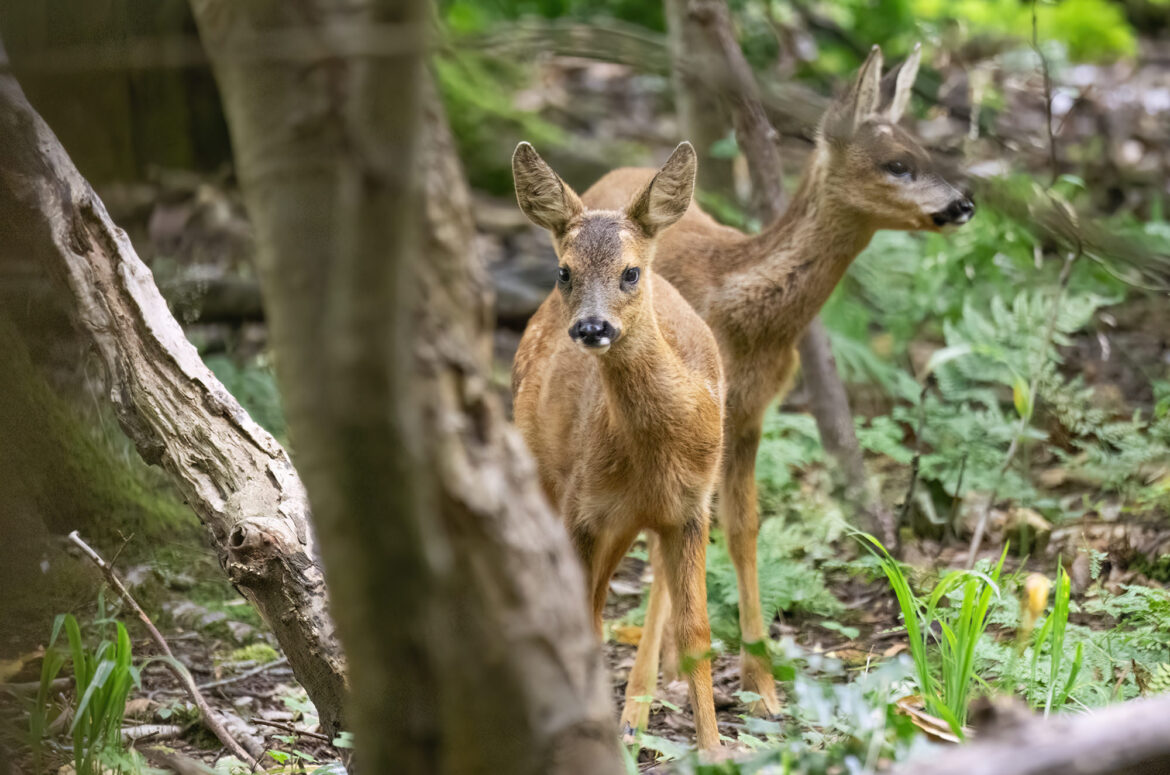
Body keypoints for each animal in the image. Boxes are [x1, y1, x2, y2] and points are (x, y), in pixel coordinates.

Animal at [510, 141, 724, 750]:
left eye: (631, 272)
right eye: (565, 270)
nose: (591, 328)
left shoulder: (693, 508)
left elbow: (696, 629)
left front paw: (715, 748)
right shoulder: (583, 506)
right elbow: (582, 618)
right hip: (549, 476)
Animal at [582, 45, 976, 721]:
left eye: (929, 152)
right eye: (898, 164)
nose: (962, 205)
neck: (743, 310)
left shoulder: (750, 414)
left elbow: (743, 529)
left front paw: (761, 686)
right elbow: (670, 545)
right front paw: (637, 702)